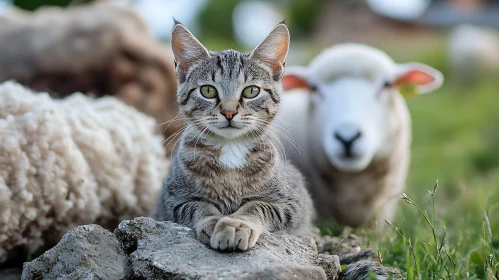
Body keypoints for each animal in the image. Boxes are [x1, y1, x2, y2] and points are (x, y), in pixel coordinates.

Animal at [156, 20, 316, 252]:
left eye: (251, 91)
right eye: (208, 91)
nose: (229, 112)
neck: (231, 149)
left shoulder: (292, 203)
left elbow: (258, 205)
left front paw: (236, 225)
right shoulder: (172, 201)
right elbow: (198, 206)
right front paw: (214, 222)